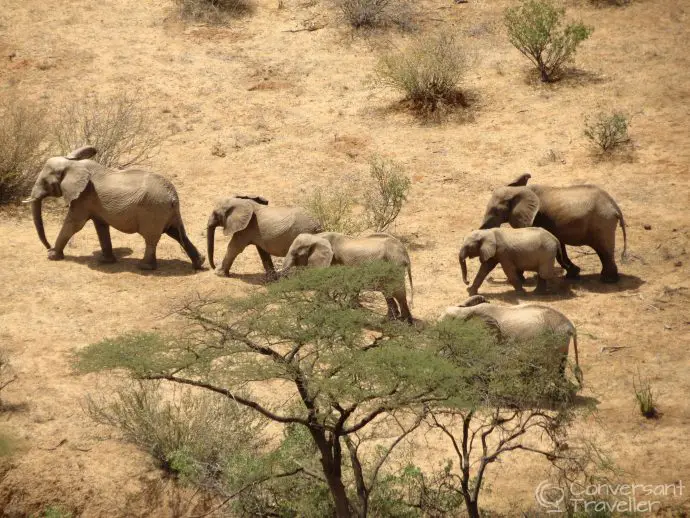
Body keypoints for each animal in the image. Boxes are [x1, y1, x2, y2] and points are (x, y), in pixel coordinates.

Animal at [24, 144, 207, 270]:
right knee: (177, 233)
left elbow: (74, 224)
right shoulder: (91, 202)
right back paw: (199, 263)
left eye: (45, 182)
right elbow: (101, 227)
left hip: (154, 210)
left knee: (151, 238)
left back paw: (144, 268)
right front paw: (106, 261)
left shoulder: (83, 197)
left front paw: (53, 256)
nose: (48, 247)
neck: (74, 165)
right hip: (167, 211)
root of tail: (173, 196)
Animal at [476, 177, 628, 286]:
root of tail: (614, 206)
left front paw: (520, 279)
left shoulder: (536, 219)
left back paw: (608, 280)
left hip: (602, 222)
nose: (491, 279)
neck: (518, 191)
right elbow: (560, 246)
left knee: (604, 250)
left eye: (495, 212)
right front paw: (573, 274)